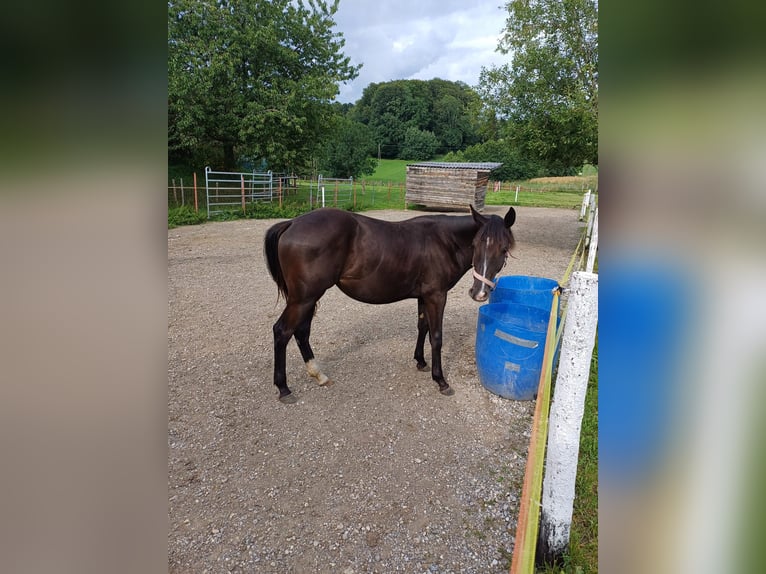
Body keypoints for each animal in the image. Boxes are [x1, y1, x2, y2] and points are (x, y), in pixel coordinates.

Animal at [262, 207, 516, 404]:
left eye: (504, 249)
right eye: (475, 244)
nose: (479, 293)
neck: (443, 241)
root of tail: (292, 222)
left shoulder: (424, 296)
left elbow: (422, 327)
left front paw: (420, 361)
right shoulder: (436, 296)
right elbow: (436, 336)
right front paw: (440, 380)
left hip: (308, 298)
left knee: (301, 332)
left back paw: (318, 375)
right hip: (303, 299)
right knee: (282, 332)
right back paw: (284, 388)